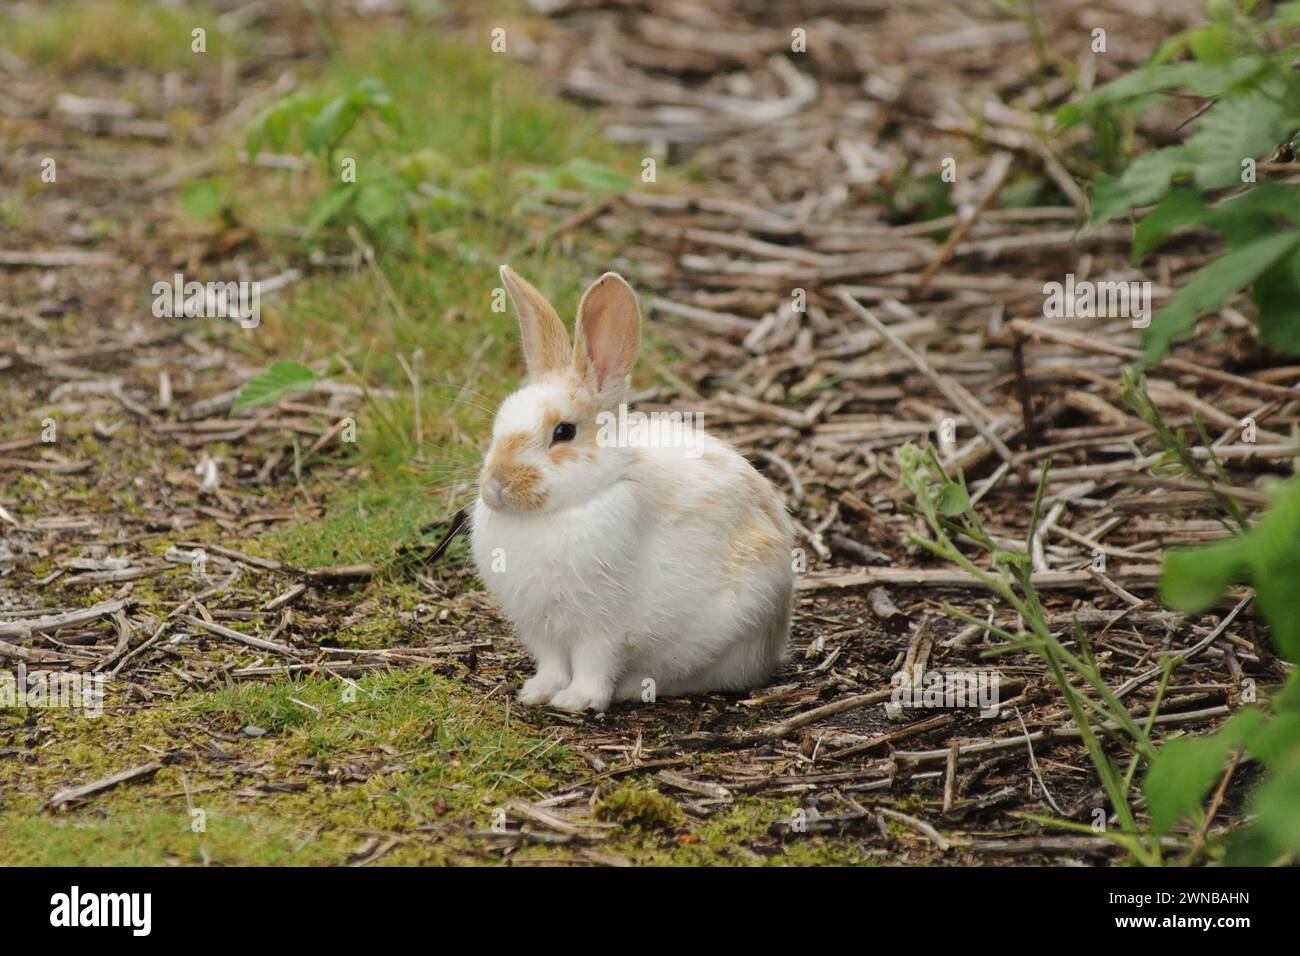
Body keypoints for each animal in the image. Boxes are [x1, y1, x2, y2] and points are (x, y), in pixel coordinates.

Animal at [470, 265, 795, 713]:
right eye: (499, 423)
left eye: (563, 432)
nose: (497, 484)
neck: (564, 509)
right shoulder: (541, 630)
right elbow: (551, 663)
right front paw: (537, 692)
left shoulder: (601, 628)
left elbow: (593, 664)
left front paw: (576, 701)